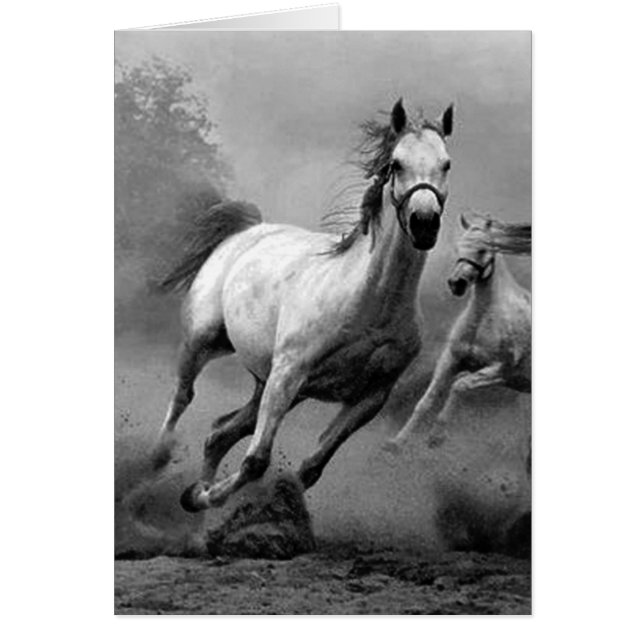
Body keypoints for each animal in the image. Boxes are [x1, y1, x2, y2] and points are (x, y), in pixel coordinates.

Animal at [151, 99, 455, 512]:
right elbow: (256, 461)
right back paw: (160, 458)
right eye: (396, 163)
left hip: (266, 383)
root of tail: (249, 230)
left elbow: (310, 468)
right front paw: (209, 496)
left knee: (220, 433)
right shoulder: (288, 374)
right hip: (206, 341)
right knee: (184, 395)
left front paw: (218, 497)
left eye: (446, 164)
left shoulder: (370, 397)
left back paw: (193, 492)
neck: (370, 304)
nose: (424, 223)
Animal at [385, 212, 531, 452]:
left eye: (482, 249)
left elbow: (459, 386)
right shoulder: (451, 359)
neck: (484, 319)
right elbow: (427, 400)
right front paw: (397, 442)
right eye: (459, 247)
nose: (456, 283)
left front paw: (435, 436)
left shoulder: (499, 371)